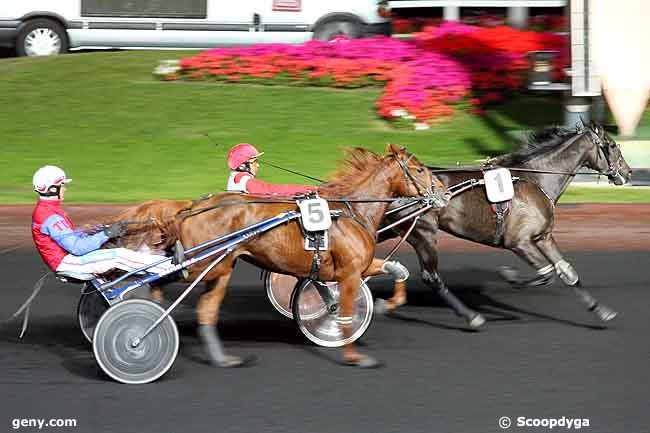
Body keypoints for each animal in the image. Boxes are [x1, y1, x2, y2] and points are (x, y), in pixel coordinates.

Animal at [382, 121, 632, 328]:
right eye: (611, 145)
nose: (628, 173)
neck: (535, 179)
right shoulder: (519, 242)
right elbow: (546, 273)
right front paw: (510, 277)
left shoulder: (543, 237)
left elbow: (567, 273)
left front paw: (601, 311)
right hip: (423, 232)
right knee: (430, 276)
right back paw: (471, 316)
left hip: (396, 229)